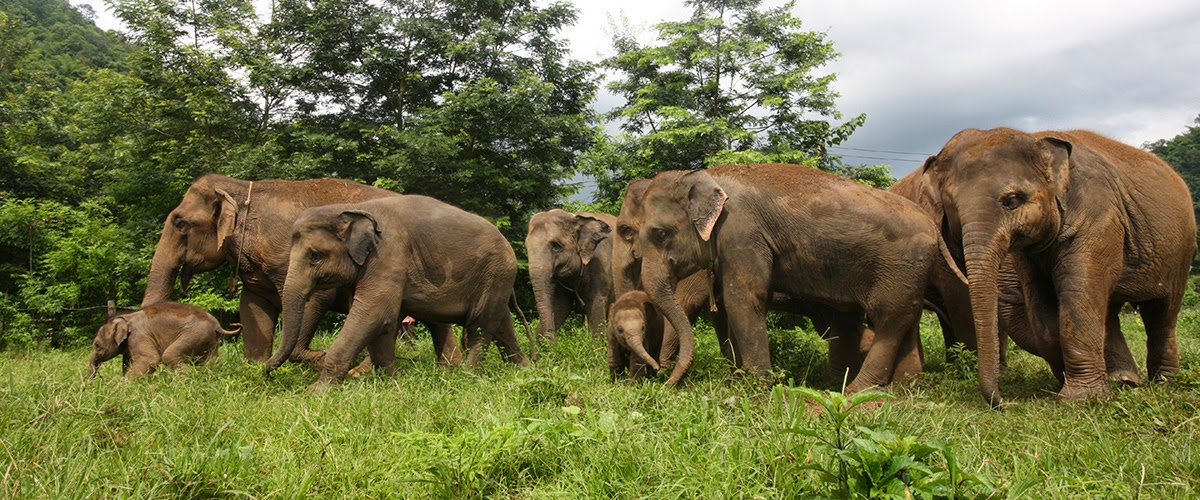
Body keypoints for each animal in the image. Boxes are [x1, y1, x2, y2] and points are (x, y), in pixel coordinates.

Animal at [89, 302, 241, 379]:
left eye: (97, 345)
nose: (89, 387)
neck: (125, 317)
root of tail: (217, 325)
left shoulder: (139, 336)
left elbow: (151, 359)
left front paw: (123, 386)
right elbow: (127, 365)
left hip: (194, 334)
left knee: (169, 355)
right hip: (209, 340)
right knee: (212, 361)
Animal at [262, 195, 531, 390]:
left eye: (315, 256)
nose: (263, 370)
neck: (353, 209)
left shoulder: (388, 255)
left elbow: (374, 314)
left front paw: (316, 394)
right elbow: (382, 323)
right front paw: (388, 385)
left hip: (494, 274)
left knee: (479, 326)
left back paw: (468, 377)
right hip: (496, 281)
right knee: (500, 324)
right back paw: (525, 370)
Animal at [525, 209, 615, 340]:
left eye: (556, 246)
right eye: (526, 248)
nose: (550, 339)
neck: (576, 218)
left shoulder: (601, 267)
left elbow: (597, 304)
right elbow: (560, 306)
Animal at [638, 164, 935, 391]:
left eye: (660, 234)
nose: (664, 381)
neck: (706, 176)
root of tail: (932, 226)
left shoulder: (742, 233)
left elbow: (743, 300)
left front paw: (758, 388)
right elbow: (730, 306)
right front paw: (738, 381)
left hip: (899, 268)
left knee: (887, 320)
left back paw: (856, 391)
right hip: (908, 275)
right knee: (903, 321)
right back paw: (902, 387)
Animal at [918, 128, 1195, 406]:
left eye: (1012, 200)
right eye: (952, 207)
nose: (1004, 403)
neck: (1035, 138)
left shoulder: (1099, 216)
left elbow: (1078, 294)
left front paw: (1080, 399)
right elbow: (1042, 308)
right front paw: (1065, 384)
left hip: (1182, 248)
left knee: (1162, 312)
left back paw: (1164, 382)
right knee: (1110, 311)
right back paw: (1124, 380)